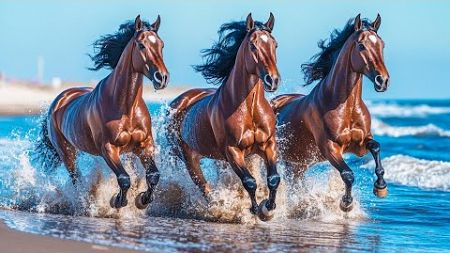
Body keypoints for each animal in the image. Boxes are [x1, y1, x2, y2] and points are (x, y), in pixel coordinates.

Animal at [36, 16, 170, 210]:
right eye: (141, 45)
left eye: (161, 45)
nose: (162, 78)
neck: (126, 107)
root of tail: (59, 100)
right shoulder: (108, 149)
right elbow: (124, 178)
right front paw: (118, 201)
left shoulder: (144, 145)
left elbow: (153, 175)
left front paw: (142, 200)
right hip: (67, 152)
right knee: (76, 179)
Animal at [169, 13, 282, 220]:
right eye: (253, 45)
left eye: (275, 44)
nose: (272, 80)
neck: (249, 108)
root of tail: (180, 100)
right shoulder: (232, 151)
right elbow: (249, 181)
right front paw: (255, 210)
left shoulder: (268, 144)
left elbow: (273, 179)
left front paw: (268, 208)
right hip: (189, 158)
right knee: (204, 187)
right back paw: (217, 207)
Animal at [270, 13, 390, 211]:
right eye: (361, 46)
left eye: (382, 45)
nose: (383, 81)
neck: (346, 106)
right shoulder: (330, 147)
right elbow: (348, 174)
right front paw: (346, 203)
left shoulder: (360, 144)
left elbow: (376, 147)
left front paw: (380, 186)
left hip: (297, 164)